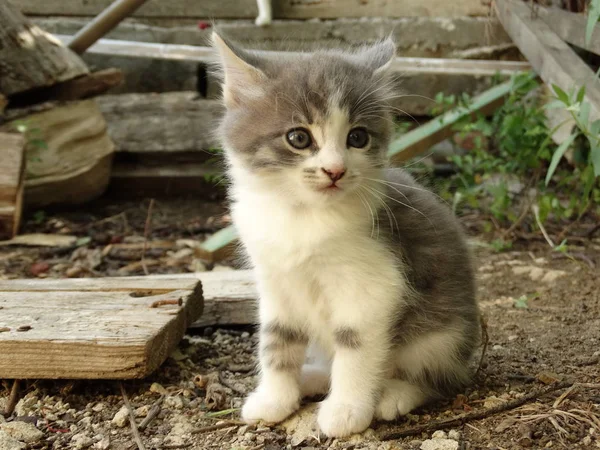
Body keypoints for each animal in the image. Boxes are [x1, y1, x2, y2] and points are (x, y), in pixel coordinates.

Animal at [213, 32, 480, 440]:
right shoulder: (275, 282)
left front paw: (347, 409)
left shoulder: (374, 284)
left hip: (441, 337)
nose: (335, 170)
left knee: (439, 377)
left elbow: (354, 345)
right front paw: (274, 399)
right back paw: (312, 378)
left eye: (357, 137)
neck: (301, 215)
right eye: (298, 137)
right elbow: (277, 340)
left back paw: (393, 394)